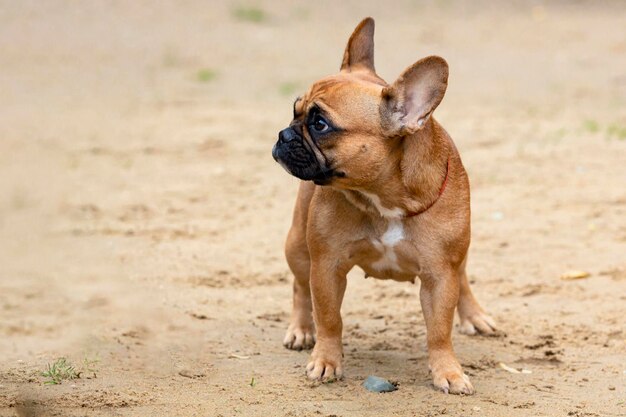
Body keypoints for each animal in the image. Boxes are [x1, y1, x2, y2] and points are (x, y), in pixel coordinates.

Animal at [270, 16, 494, 394]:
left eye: (320, 124)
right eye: (294, 111)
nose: (284, 134)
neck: (384, 198)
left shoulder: (439, 274)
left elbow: (439, 330)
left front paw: (448, 371)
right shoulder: (327, 265)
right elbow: (329, 318)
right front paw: (326, 360)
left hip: (459, 251)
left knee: (463, 277)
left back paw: (475, 315)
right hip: (298, 245)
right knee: (301, 287)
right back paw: (301, 329)